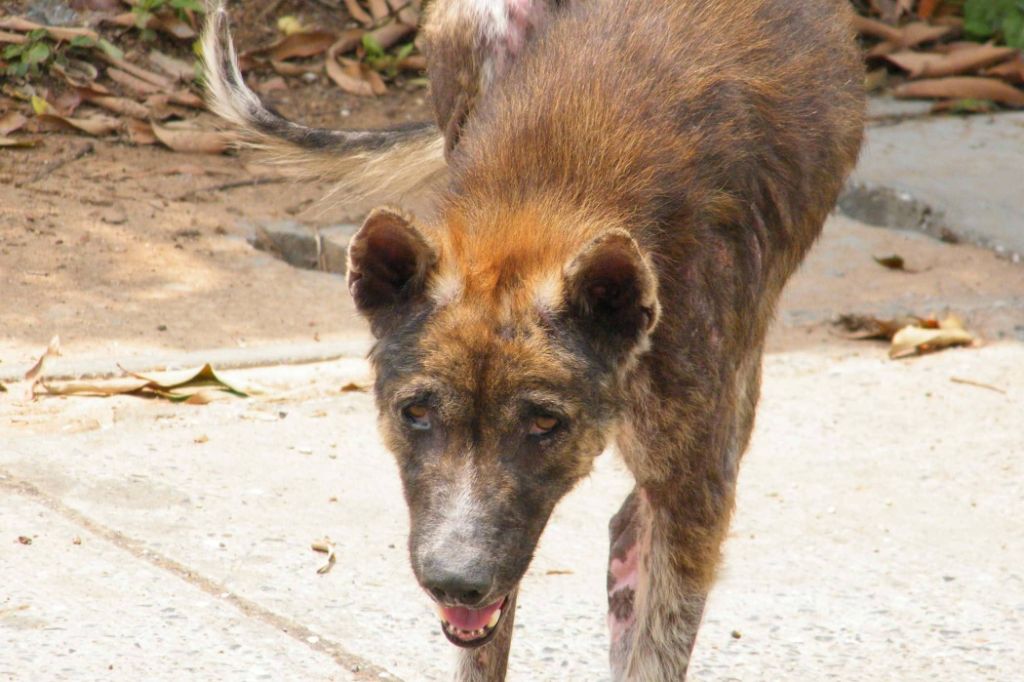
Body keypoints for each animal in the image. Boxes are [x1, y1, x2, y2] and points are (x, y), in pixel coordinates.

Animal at [201, 0, 864, 675]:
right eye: (415, 412)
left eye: (546, 423)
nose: (455, 582)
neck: (547, 193)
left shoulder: (695, 489)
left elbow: (657, 645)